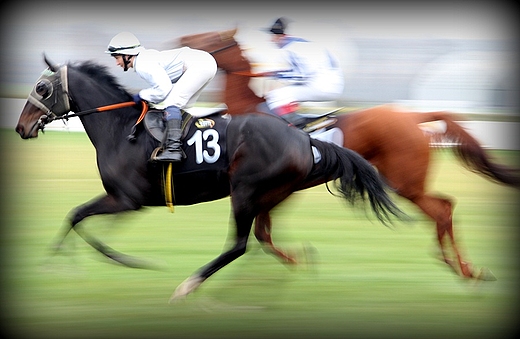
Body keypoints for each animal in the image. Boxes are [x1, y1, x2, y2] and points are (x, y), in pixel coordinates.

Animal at [13, 56, 402, 302]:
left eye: (43, 88)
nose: (21, 127)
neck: (120, 129)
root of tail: (304, 137)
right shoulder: (127, 203)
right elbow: (80, 219)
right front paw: (65, 260)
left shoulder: (126, 200)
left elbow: (78, 217)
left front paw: (82, 260)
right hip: (271, 195)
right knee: (263, 238)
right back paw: (290, 266)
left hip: (245, 192)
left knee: (239, 245)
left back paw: (188, 286)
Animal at [179, 27, 520, 280]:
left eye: (210, 38)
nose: (181, 41)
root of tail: (413, 116)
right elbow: (264, 232)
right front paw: (297, 259)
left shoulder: (273, 187)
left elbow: (263, 232)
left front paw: (298, 260)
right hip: (406, 181)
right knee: (445, 206)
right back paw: (460, 266)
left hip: (404, 181)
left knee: (442, 210)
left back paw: (463, 269)